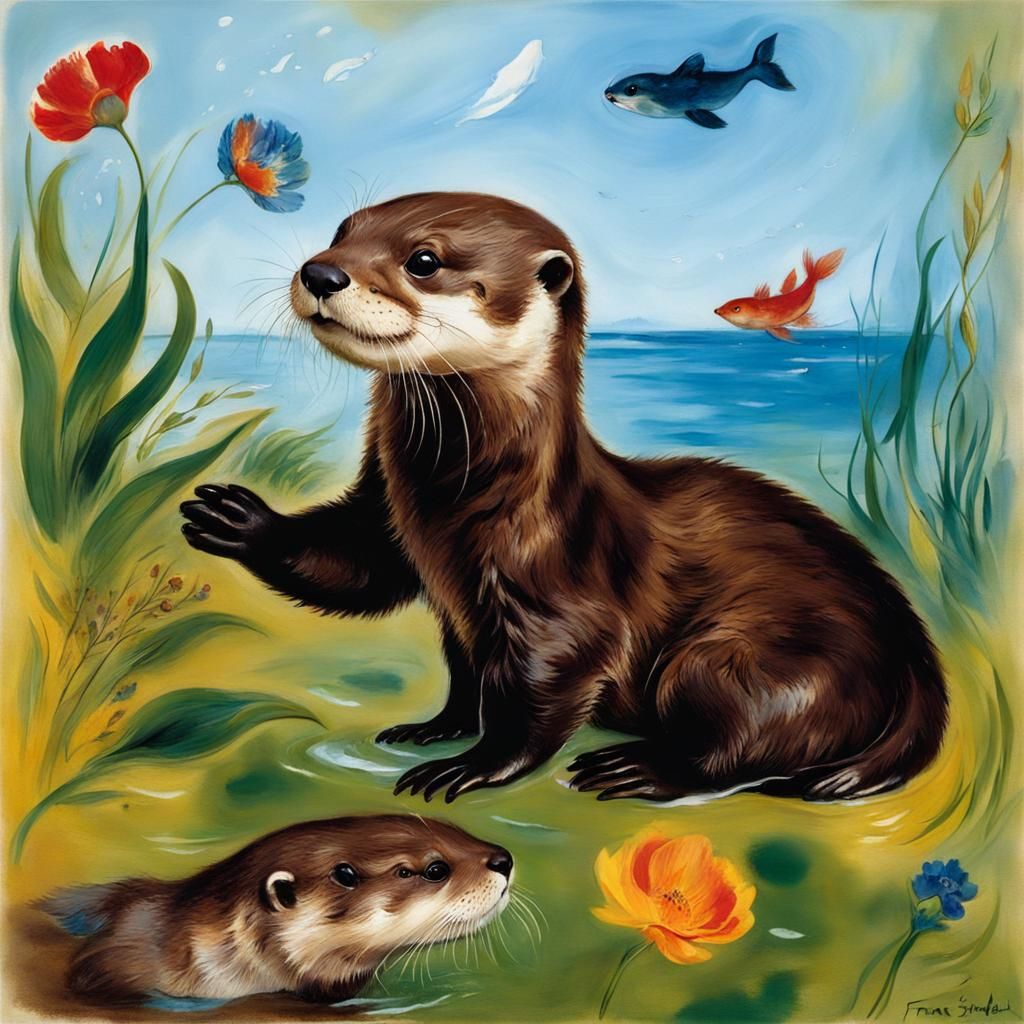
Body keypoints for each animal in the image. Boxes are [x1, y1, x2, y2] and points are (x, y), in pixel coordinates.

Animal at [181, 191, 947, 804]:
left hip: (741, 662)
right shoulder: (396, 529)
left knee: (743, 746)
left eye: (423, 260)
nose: (320, 271)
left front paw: (473, 765)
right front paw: (235, 519)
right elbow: (365, 572)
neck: (452, 504)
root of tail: (911, 646)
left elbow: (550, 685)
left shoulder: (555, 590)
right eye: (342, 230)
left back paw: (642, 769)